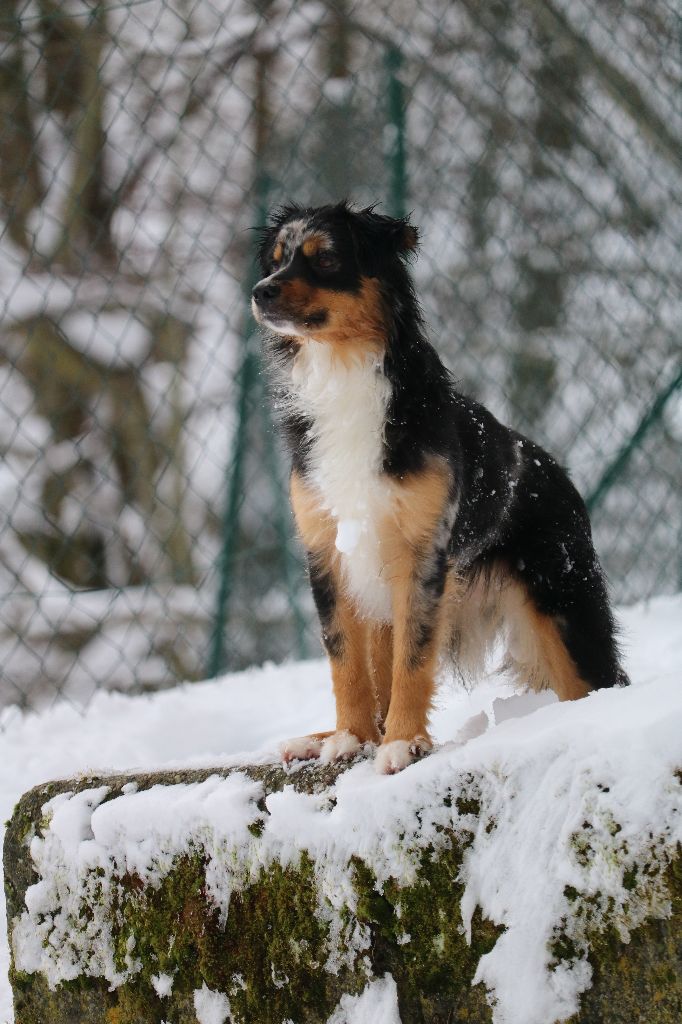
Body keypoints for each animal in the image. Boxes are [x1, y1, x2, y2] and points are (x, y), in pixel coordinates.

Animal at [249, 201, 626, 774]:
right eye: (275, 260)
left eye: (326, 259)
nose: (259, 291)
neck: (343, 371)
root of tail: (556, 471)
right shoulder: (328, 552)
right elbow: (345, 659)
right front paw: (349, 738)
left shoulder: (422, 553)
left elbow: (414, 656)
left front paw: (404, 743)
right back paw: (325, 736)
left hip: (565, 604)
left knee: (597, 678)